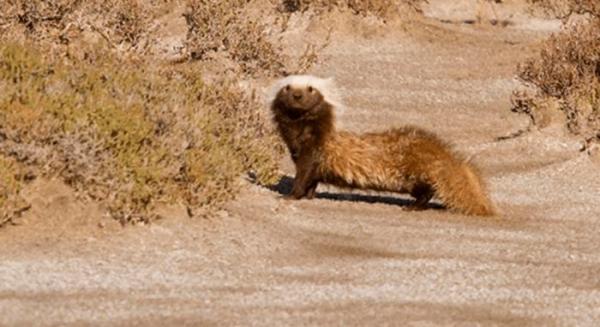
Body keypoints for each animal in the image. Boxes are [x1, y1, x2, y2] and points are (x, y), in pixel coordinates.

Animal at [270, 75, 494, 217]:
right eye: (287, 87)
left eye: (310, 88)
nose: (297, 96)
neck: (299, 139)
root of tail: (438, 151)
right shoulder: (305, 158)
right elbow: (311, 183)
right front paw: (309, 196)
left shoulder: (310, 156)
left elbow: (302, 180)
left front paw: (289, 195)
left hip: (412, 178)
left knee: (427, 191)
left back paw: (411, 207)